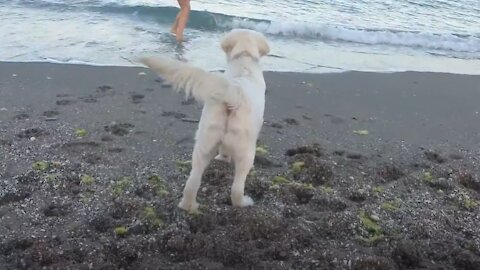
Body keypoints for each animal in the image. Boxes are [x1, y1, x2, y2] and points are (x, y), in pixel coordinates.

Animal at [141, 28, 272, 212]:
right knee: (236, 188)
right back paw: (243, 202)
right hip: (245, 150)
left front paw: (222, 157)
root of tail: (234, 91)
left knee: (192, 182)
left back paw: (188, 206)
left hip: (203, 142)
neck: (243, 61)